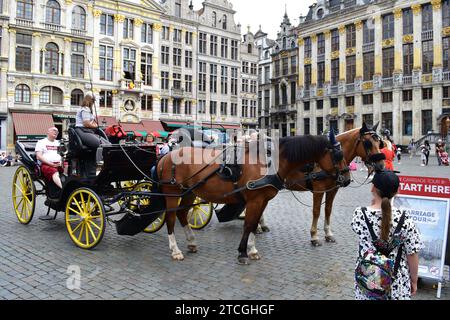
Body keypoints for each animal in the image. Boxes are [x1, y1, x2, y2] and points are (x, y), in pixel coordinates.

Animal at [158, 134, 352, 264]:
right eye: (338, 156)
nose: (347, 179)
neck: (268, 163)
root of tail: (166, 156)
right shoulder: (254, 200)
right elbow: (248, 224)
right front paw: (243, 253)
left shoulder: (262, 200)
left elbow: (253, 223)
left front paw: (251, 250)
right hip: (172, 193)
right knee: (170, 218)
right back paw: (175, 250)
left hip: (188, 192)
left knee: (182, 214)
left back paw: (191, 242)